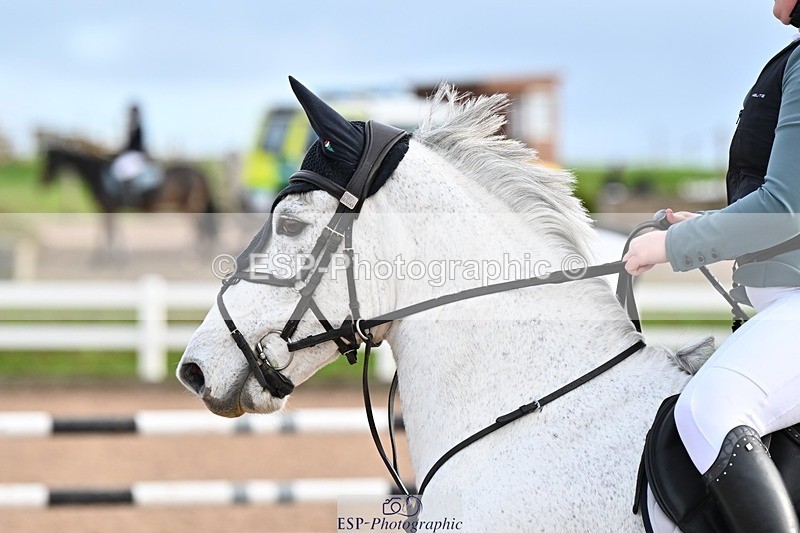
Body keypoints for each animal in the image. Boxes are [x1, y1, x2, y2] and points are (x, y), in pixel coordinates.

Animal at [40, 144, 218, 257]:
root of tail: (201, 173)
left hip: (191, 206)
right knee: (201, 229)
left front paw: (106, 258)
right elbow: (111, 230)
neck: (96, 173)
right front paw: (117, 254)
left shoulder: (107, 207)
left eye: (50, 161)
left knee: (199, 229)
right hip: (187, 207)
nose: (44, 181)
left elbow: (108, 231)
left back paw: (191, 256)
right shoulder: (109, 208)